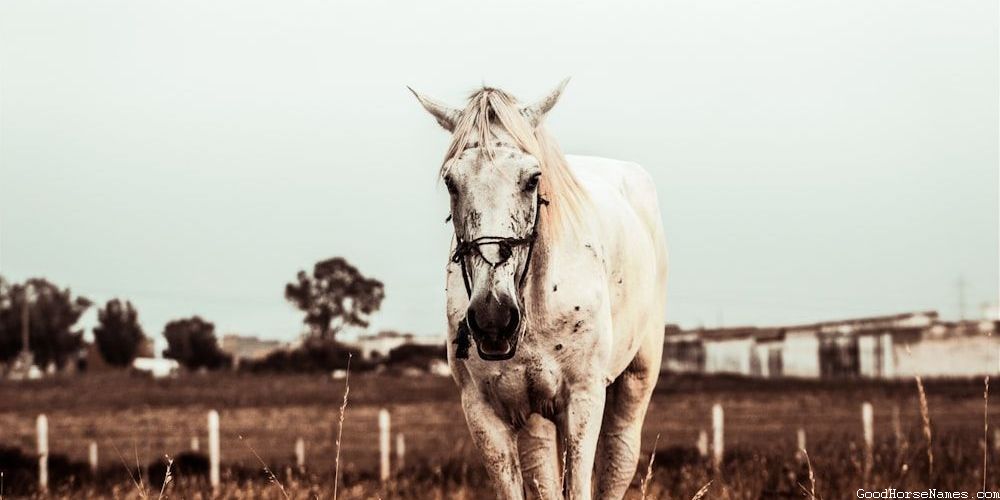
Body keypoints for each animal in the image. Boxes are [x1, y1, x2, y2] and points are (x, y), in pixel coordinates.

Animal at [409, 81, 668, 500]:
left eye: (532, 179)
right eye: (451, 181)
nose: (493, 316)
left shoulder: (583, 399)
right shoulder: (484, 411)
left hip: (636, 379)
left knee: (619, 457)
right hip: (534, 413)